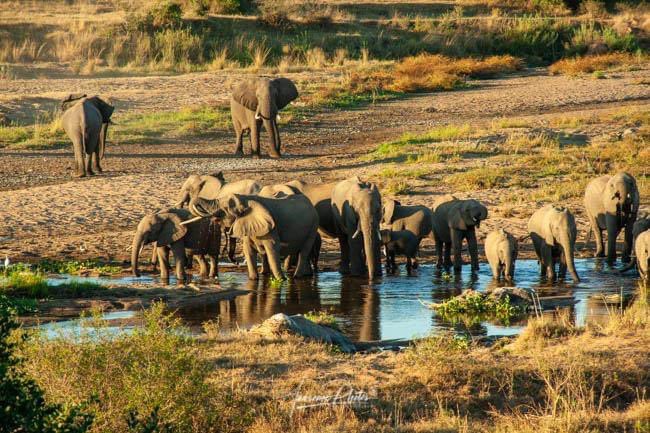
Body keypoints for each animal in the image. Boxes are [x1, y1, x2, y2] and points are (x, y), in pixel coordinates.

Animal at [189, 193, 319, 281]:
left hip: (313, 226)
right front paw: (253, 279)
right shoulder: (249, 225)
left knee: (304, 252)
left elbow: (272, 250)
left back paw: (297, 277)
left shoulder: (271, 228)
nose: (237, 263)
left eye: (224, 209)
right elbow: (249, 250)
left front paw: (281, 280)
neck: (245, 199)